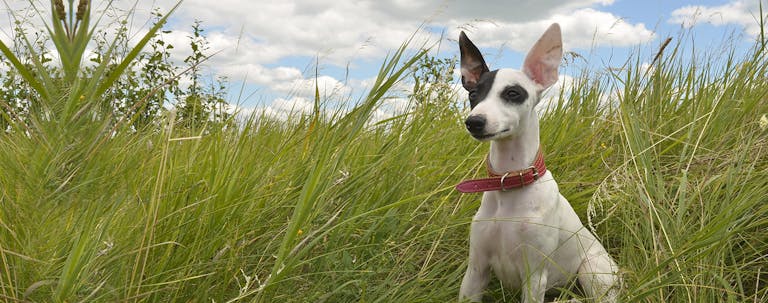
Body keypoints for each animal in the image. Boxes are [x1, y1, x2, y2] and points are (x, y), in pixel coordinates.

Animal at [456, 22, 616, 302]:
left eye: (513, 93)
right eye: (473, 94)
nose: (474, 122)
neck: (510, 182)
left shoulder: (534, 276)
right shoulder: (476, 271)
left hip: (592, 272)